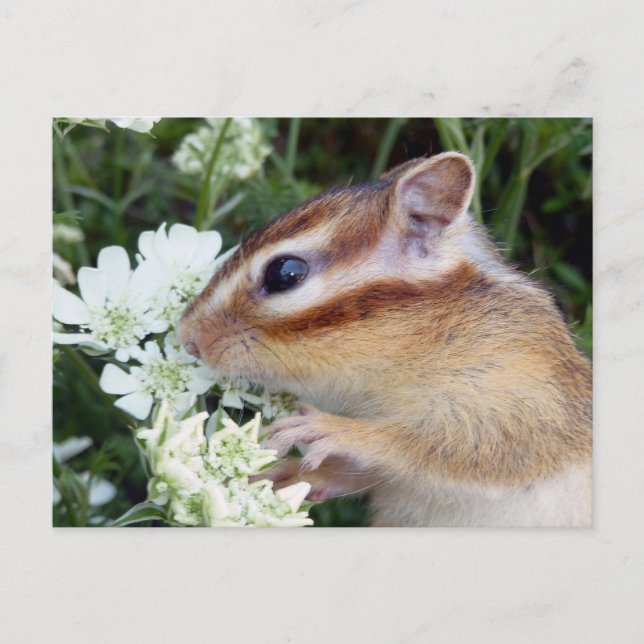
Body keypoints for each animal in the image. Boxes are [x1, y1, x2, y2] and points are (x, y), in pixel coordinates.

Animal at [178, 152, 592, 527]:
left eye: (285, 273)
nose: (188, 338)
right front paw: (290, 474)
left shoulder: (525, 401)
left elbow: (462, 448)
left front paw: (338, 431)